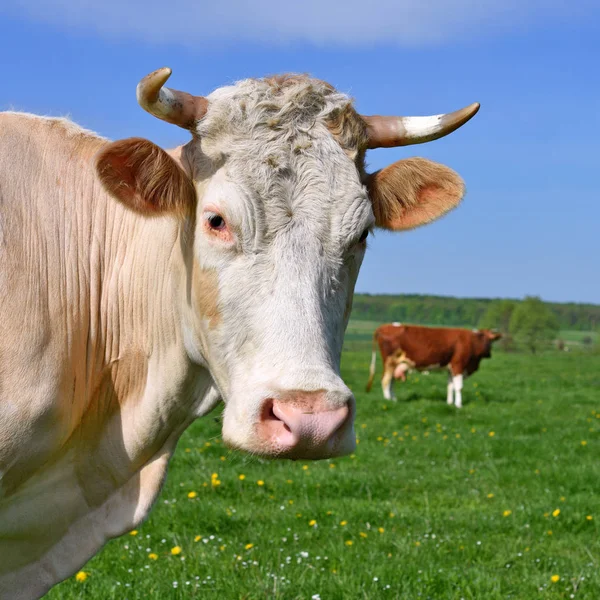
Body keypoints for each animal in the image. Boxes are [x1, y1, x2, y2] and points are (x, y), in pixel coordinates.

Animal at [366, 324, 502, 408]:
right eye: (485, 338)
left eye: (491, 340)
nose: (489, 354)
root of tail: (384, 326)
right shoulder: (458, 365)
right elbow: (459, 387)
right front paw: (459, 405)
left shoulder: (450, 368)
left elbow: (450, 386)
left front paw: (449, 403)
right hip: (390, 361)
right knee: (385, 380)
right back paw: (388, 400)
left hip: (396, 364)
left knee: (391, 381)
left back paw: (393, 399)